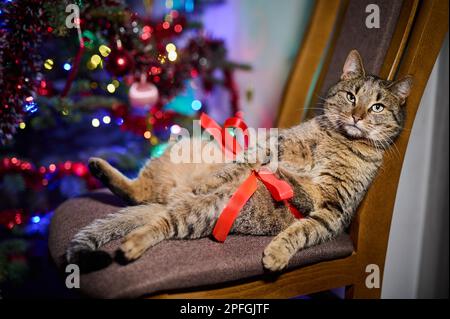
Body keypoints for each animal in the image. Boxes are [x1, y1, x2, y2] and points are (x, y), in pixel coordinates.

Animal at [65, 50, 414, 272]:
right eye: (351, 96)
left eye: (377, 107)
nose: (357, 116)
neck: (339, 140)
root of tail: (167, 200)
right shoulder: (270, 145)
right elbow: (244, 163)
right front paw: (223, 175)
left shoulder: (334, 211)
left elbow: (302, 230)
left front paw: (277, 252)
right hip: (180, 157)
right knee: (142, 193)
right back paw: (102, 168)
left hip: (204, 213)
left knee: (158, 219)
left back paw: (132, 242)